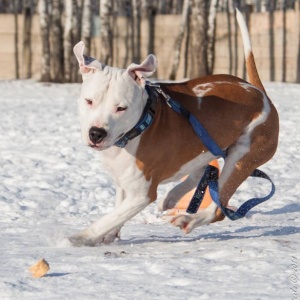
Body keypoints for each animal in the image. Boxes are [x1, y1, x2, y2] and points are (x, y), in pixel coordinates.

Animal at [70, 8, 278, 246]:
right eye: (89, 101)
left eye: (121, 108)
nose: (96, 133)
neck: (139, 126)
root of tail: (260, 93)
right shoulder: (122, 182)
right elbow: (116, 213)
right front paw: (108, 235)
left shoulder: (141, 194)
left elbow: (110, 218)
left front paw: (80, 238)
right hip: (210, 148)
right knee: (204, 171)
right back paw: (172, 197)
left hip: (243, 158)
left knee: (218, 207)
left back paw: (189, 219)